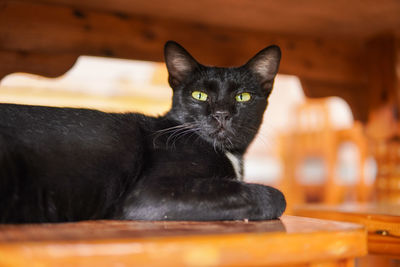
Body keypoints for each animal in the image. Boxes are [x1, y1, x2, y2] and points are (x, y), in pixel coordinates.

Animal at [0, 40, 284, 224]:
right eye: (199, 95)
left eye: (243, 97)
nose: (222, 114)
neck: (231, 154)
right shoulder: (151, 194)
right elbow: (273, 196)